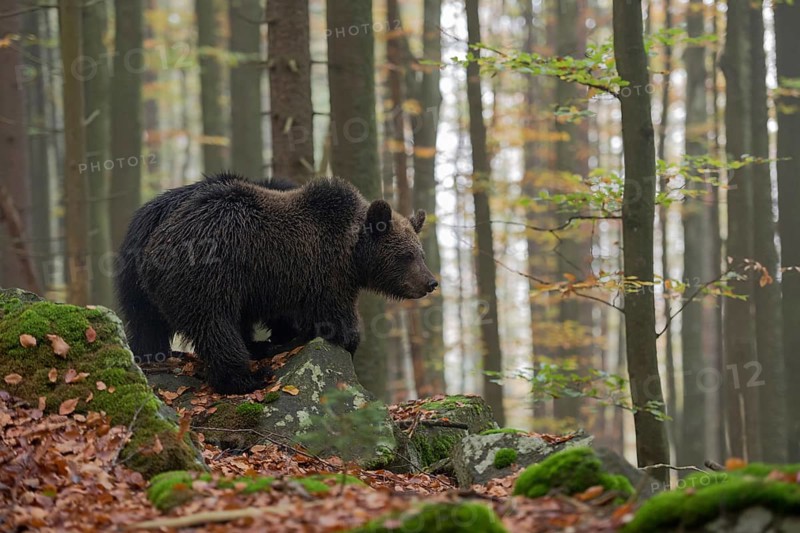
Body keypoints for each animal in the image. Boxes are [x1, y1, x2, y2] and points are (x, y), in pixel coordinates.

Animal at [135, 175, 438, 394]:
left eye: (420, 254)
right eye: (406, 256)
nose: (431, 282)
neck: (352, 254)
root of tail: (154, 247)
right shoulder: (325, 273)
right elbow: (335, 316)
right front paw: (347, 339)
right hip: (211, 274)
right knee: (216, 326)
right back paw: (247, 378)